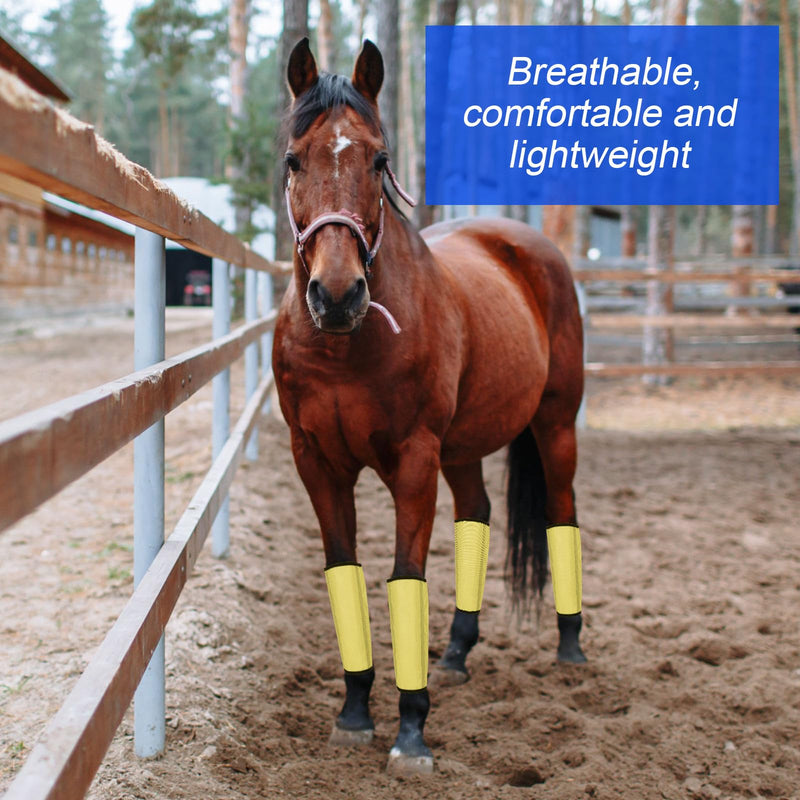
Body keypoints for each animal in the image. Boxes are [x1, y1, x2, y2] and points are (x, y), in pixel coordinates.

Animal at [272, 38, 586, 774]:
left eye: (378, 159)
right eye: (294, 159)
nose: (337, 295)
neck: (346, 347)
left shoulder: (413, 461)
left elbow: (404, 576)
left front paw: (411, 730)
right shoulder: (317, 463)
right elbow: (346, 572)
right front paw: (355, 712)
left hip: (555, 424)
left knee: (561, 511)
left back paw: (570, 645)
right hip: (463, 448)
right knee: (479, 512)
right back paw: (456, 652)